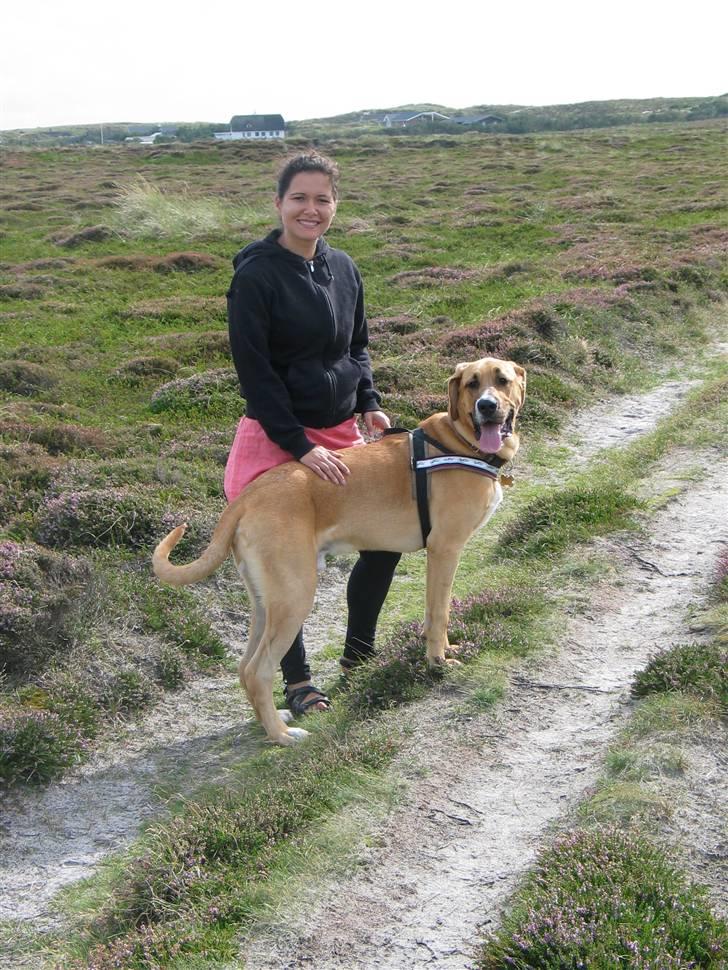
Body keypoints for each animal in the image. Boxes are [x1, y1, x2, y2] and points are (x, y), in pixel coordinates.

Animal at [155, 360, 524, 744]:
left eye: (502, 380)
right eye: (471, 384)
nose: (487, 406)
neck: (460, 441)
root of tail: (247, 497)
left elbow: (437, 612)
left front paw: (445, 649)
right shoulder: (444, 549)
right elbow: (439, 613)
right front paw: (437, 661)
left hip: (264, 601)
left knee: (244, 667)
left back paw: (274, 721)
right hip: (295, 595)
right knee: (259, 670)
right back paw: (283, 735)